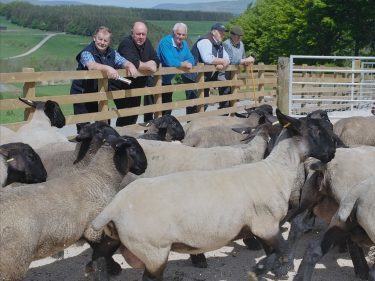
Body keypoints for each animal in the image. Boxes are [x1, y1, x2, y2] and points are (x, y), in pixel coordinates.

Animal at [0, 133, 148, 280]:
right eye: (132, 148)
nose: (145, 166)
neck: (100, 176)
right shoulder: (96, 229)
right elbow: (101, 258)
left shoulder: (88, 230)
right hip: (13, 262)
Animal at [89, 107, 338, 280]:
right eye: (316, 130)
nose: (334, 152)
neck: (275, 170)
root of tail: (114, 207)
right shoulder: (266, 226)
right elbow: (279, 250)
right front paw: (264, 270)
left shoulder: (265, 229)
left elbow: (273, 252)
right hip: (153, 251)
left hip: (118, 241)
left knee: (99, 257)